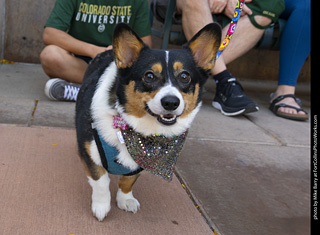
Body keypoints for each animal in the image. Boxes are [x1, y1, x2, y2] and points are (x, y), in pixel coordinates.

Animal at [75, 23, 220, 221]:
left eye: (184, 76)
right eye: (149, 76)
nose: (171, 102)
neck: (135, 129)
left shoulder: (141, 163)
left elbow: (128, 181)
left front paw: (125, 199)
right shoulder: (90, 153)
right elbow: (101, 180)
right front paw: (101, 207)